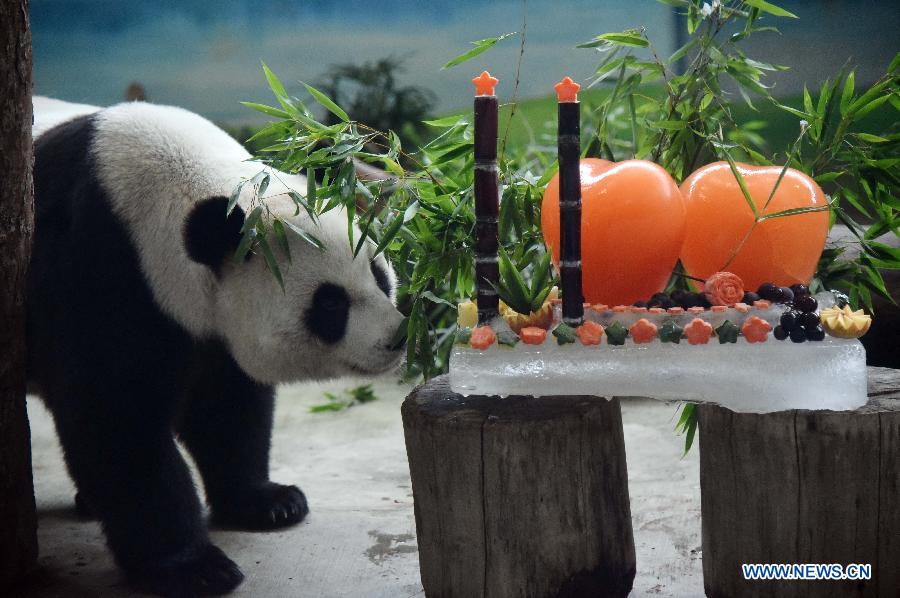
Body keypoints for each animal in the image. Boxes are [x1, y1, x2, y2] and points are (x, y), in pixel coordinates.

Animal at [27, 101, 404, 596]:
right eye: (330, 303)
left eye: (379, 275)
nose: (396, 336)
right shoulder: (97, 269)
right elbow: (117, 421)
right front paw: (195, 567)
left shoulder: (207, 322)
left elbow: (227, 407)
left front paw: (270, 503)